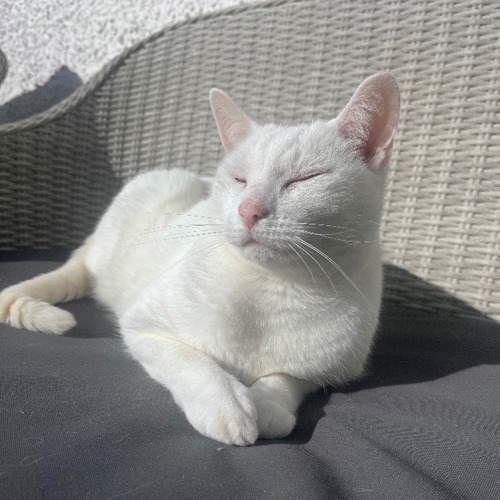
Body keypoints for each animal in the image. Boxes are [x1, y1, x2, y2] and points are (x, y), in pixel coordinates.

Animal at [0, 74, 398, 446]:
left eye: (305, 179)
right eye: (239, 179)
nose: (249, 210)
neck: (276, 289)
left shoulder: (329, 370)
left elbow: (287, 378)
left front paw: (268, 405)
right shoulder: (143, 326)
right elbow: (192, 361)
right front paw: (228, 406)